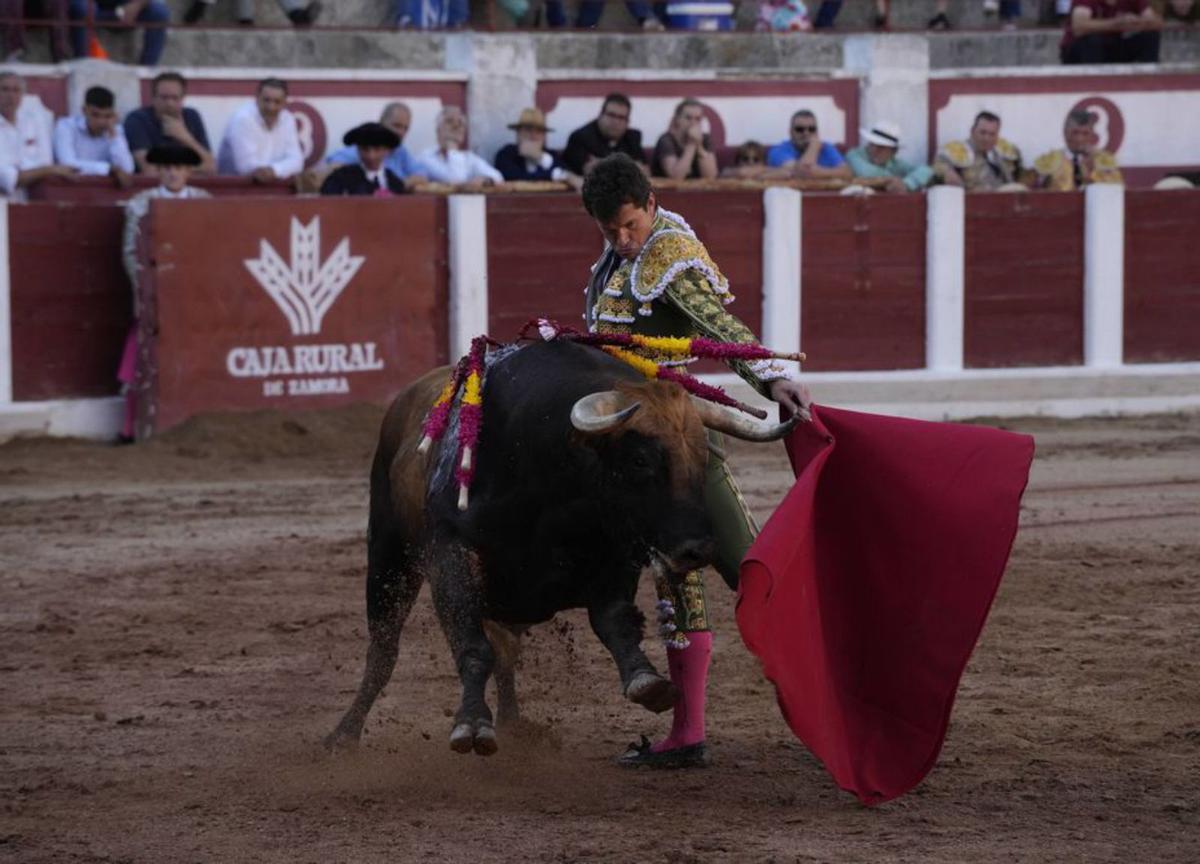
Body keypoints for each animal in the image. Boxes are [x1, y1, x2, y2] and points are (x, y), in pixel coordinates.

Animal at [328, 338, 796, 758]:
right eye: (640, 460)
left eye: (702, 459)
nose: (696, 549)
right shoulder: (450, 554)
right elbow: (472, 646)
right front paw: (471, 725)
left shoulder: (615, 556)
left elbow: (613, 623)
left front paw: (646, 681)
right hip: (390, 555)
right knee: (384, 649)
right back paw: (344, 734)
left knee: (506, 650)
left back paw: (514, 725)